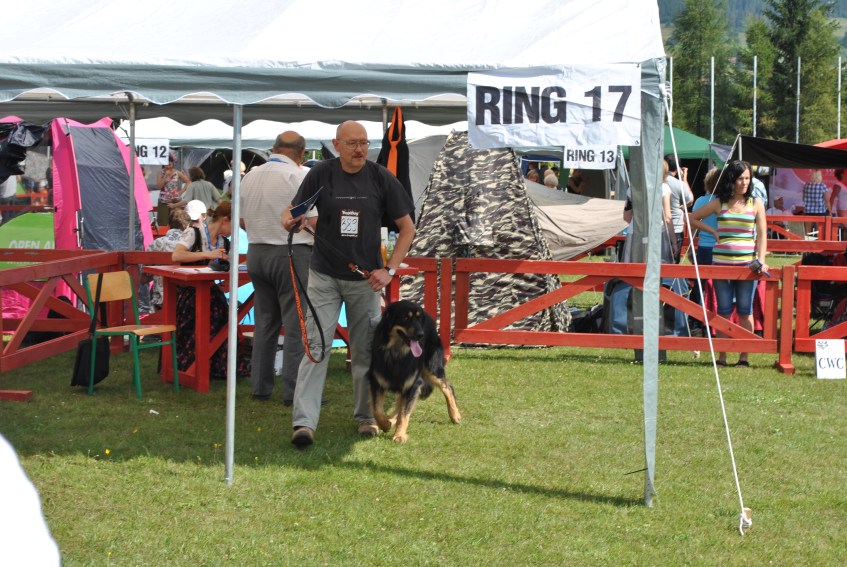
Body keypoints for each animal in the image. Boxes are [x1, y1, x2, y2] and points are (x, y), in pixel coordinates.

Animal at [367, 300, 461, 443]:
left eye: (419, 318)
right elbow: (376, 409)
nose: (421, 335)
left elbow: (404, 412)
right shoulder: (377, 381)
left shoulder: (413, 383)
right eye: (405, 318)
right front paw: (386, 424)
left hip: (432, 367)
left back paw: (455, 414)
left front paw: (399, 435)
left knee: (448, 387)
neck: (397, 353)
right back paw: (392, 420)